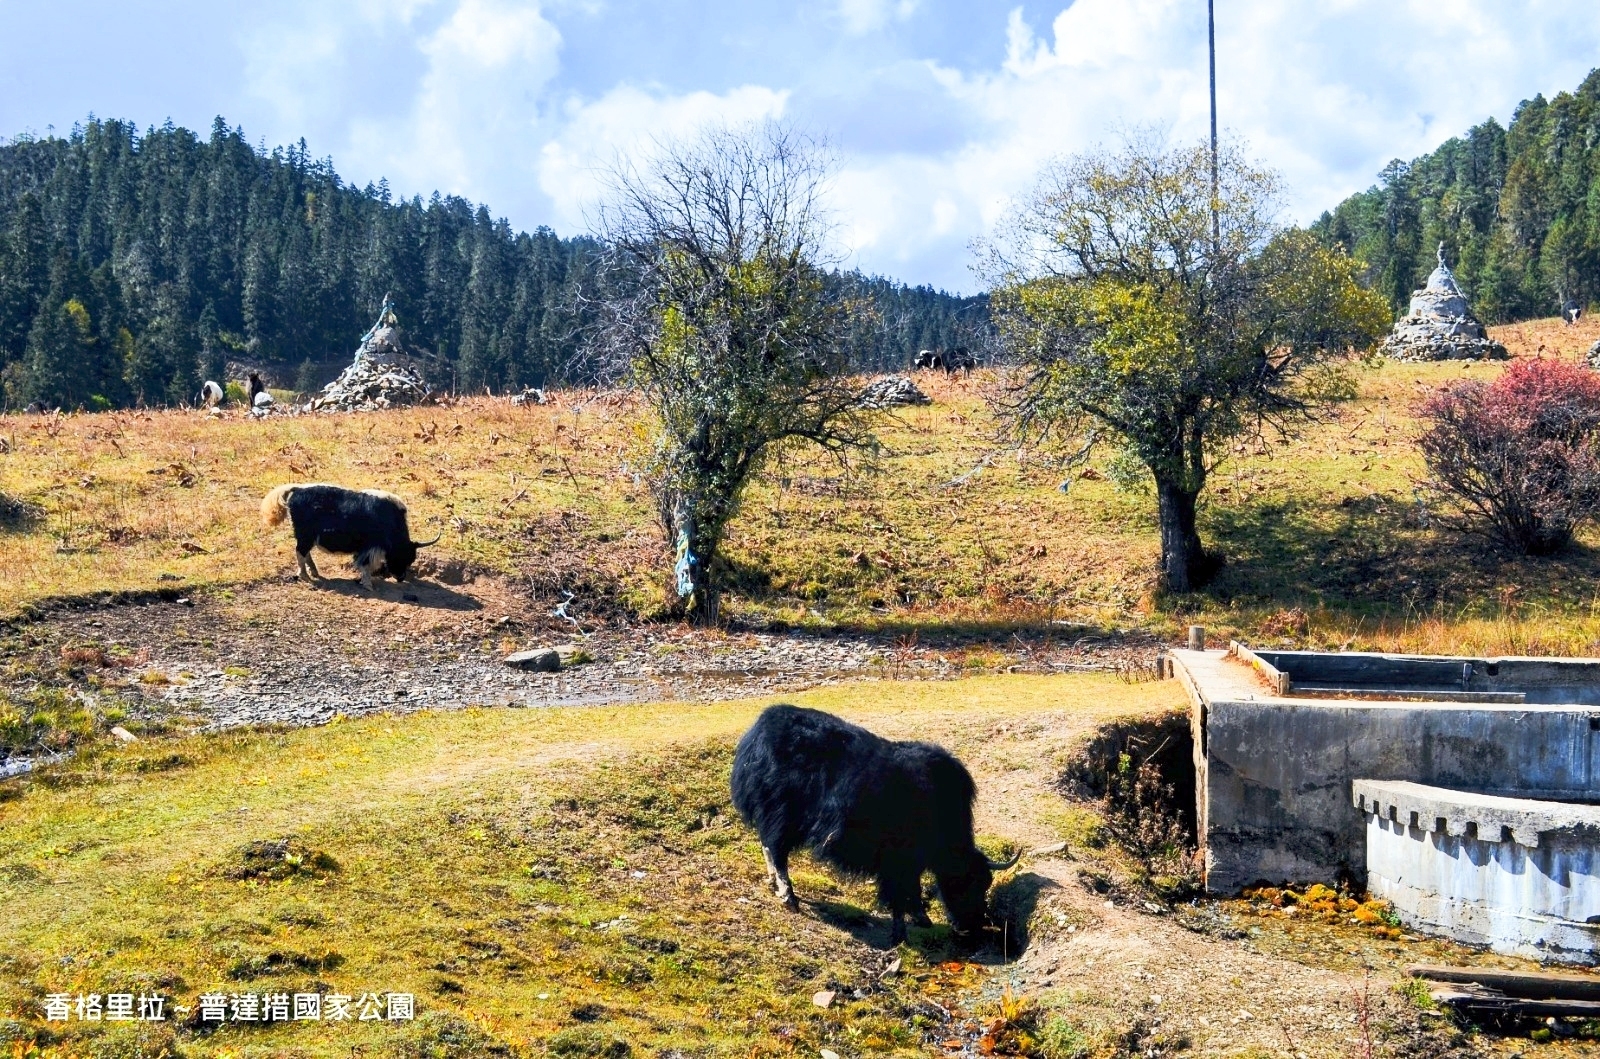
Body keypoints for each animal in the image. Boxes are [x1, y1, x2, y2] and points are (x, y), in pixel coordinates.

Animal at [260, 486, 438, 591]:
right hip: (305, 536)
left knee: (305, 553)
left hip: (306, 537)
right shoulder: (370, 547)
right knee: (300, 552)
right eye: (402, 556)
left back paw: (315, 572)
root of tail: (297, 490)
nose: (401, 578)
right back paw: (306, 576)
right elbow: (365, 564)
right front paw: (368, 585)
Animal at [729, 703, 1011, 947]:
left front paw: (922, 919)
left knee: (768, 845)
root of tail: (757, 734)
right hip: (782, 814)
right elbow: (900, 894)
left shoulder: (911, 862)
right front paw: (901, 934)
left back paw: (774, 886)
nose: (970, 928)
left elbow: (914, 889)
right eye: (967, 882)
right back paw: (789, 897)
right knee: (777, 850)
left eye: (986, 884)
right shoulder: (899, 861)